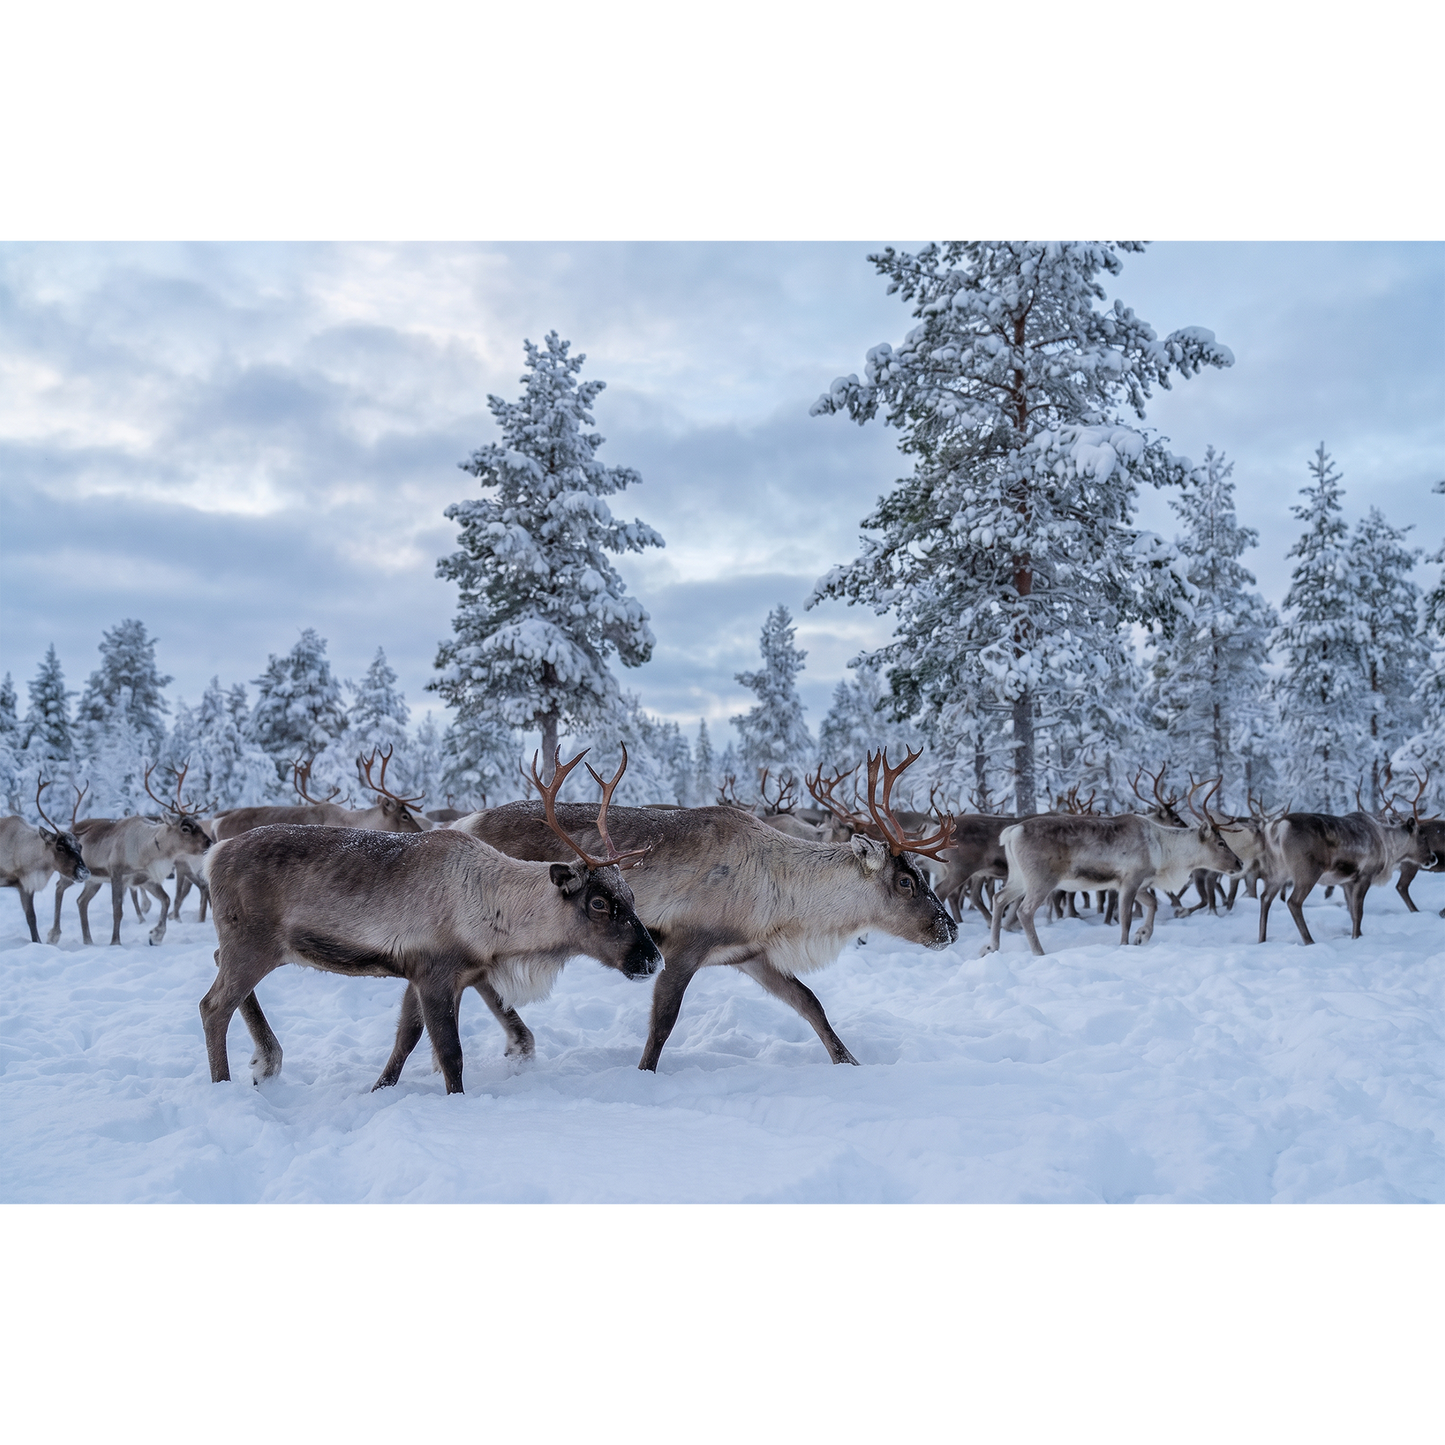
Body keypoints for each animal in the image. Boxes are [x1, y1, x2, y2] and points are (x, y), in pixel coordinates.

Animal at [1, 781, 90, 942]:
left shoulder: (26, 885)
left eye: (80, 846)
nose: (84, 873)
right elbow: (31, 918)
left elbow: (32, 917)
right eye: (60, 847)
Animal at [49, 764, 213, 945]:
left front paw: (155, 935)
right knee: (58, 887)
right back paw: (54, 935)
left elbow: (166, 899)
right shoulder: (116, 873)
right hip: (71, 873)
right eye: (185, 828)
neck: (147, 850)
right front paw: (115, 942)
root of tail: (68, 830)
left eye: (198, 824)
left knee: (81, 901)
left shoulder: (145, 879)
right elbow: (117, 909)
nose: (209, 842)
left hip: (93, 881)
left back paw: (88, 940)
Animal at [429, 746, 958, 1073]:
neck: (779, 893)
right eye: (907, 881)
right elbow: (663, 1021)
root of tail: (463, 822)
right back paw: (512, 1045)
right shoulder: (686, 946)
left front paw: (850, 1063)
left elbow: (811, 1003)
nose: (950, 930)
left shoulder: (751, 954)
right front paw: (643, 1073)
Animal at [1257, 778, 1440, 945]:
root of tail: (1277, 827)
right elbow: (1359, 912)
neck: (1388, 844)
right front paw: (1356, 937)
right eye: (1423, 835)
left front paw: (1357, 936)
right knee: (1293, 902)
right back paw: (1309, 941)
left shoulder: (1347, 882)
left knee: (1265, 897)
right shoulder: (1364, 875)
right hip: (1307, 872)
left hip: (1277, 871)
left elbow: (1351, 912)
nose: (1433, 858)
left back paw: (1261, 940)